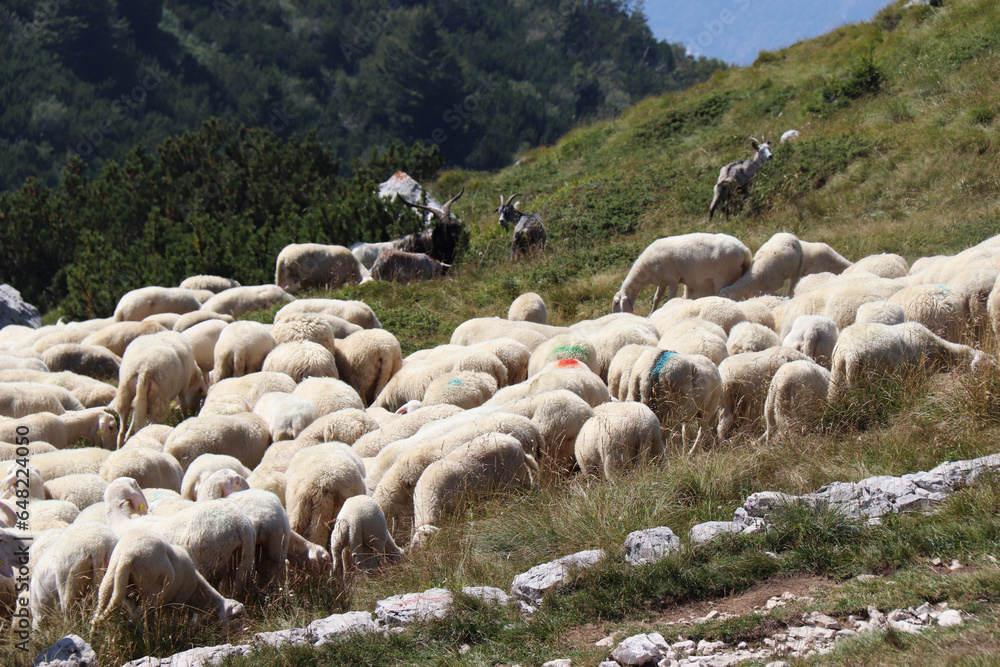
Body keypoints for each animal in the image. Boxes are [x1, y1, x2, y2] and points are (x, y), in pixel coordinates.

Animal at [91, 527, 245, 627]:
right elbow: (173, 622)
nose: (246, 631)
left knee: (99, 612)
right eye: (237, 617)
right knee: (132, 621)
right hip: (151, 594)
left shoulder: (133, 601)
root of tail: (128, 554)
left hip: (110, 579)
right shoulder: (176, 602)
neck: (196, 591)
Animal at [613, 233, 752, 315]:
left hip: (725, 279)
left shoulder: (673, 279)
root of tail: (745, 251)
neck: (644, 271)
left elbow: (670, 298)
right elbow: (656, 298)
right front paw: (651, 314)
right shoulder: (662, 282)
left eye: (616, 303)